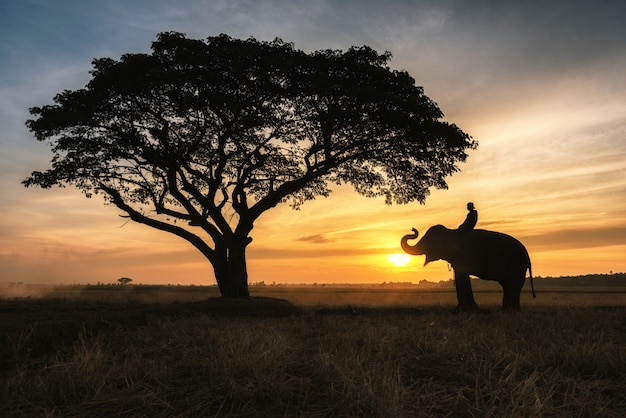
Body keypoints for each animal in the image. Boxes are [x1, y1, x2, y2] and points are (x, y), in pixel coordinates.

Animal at [402, 225, 532, 310]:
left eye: (430, 241)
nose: (413, 229)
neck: (452, 232)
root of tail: (527, 256)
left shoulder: (463, 257)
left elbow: (462, 274)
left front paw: (468, 309)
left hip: (518, 266)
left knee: (515, 285)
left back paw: (513, 310)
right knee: (507, 285)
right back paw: (505, 310)